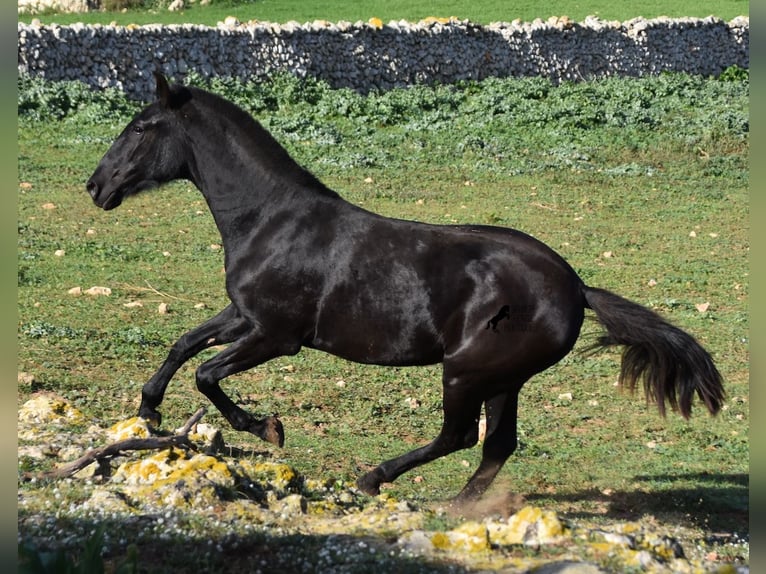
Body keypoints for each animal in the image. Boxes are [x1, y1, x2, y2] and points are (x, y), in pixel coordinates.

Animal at [87, 74, 728, 506]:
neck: (272, 220)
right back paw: (458, 508)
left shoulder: (276, 335)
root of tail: (576, 287)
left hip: (467, 371)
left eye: (141, 128)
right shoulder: (245, 315)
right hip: (504, 379)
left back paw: (376, 478)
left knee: (459, 436)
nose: (96, 186)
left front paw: (267, 427)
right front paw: (148, 410)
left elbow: (207, 373)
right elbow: (184, 345)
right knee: (497, 446)